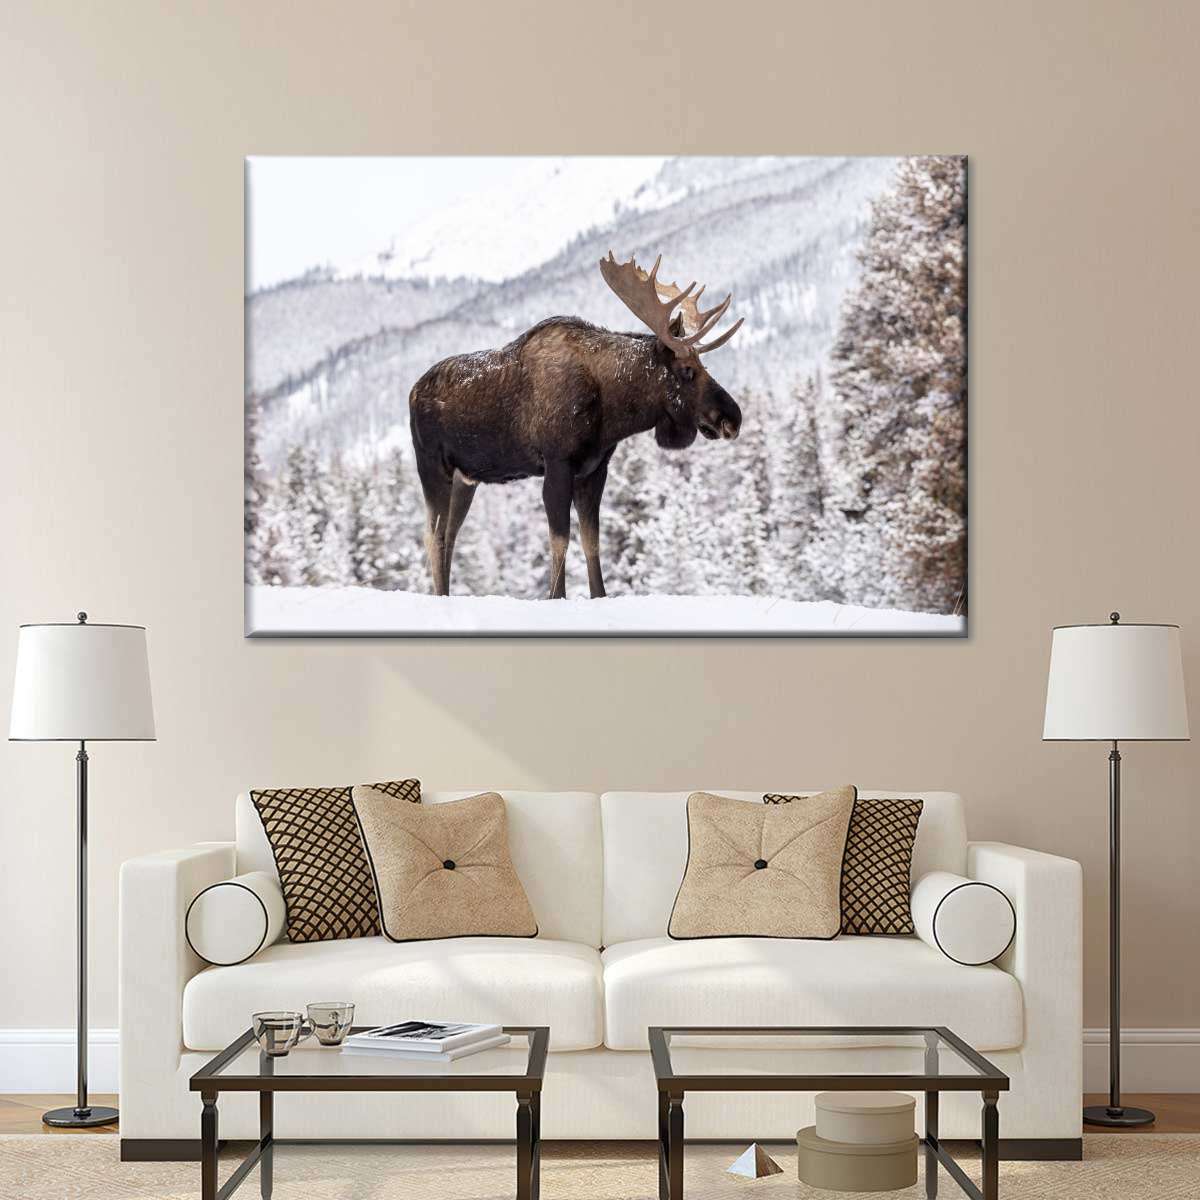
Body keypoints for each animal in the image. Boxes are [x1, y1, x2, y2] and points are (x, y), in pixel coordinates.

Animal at [408, 252, 745, 599]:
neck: (611, 410)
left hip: (466, 478)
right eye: (687, 370)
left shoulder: (594, 470)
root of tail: (413, 392)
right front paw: (556, 596)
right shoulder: (558, 464)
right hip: (432, 466)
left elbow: (591, 541)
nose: (732, 417)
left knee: (450, 534)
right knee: (433, 535)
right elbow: (560, 541)